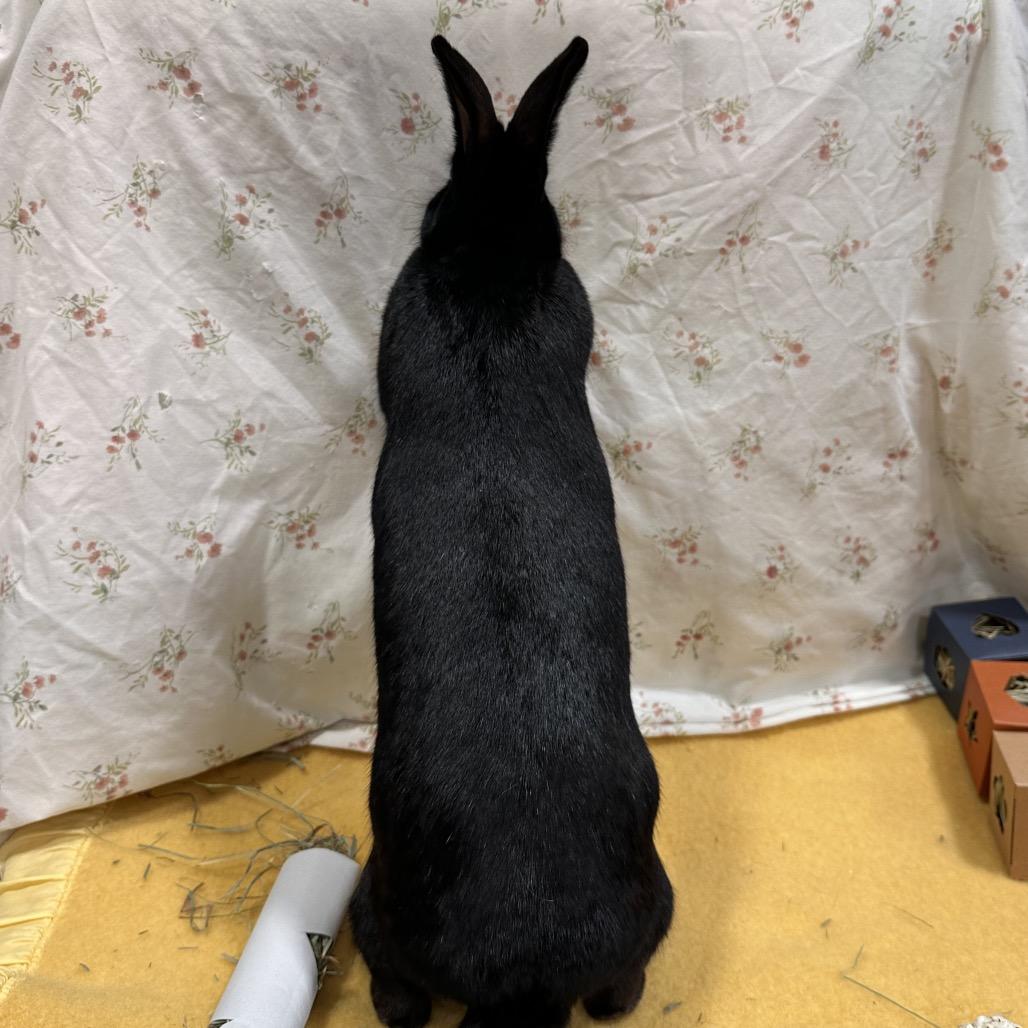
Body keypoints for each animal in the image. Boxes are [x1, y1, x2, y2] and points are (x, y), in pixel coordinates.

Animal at [349, 34, 673, 1028]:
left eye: (431, 199)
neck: (493, 254)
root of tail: (523, 983)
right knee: (620, 993)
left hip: (374, 896)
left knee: (398, 994)